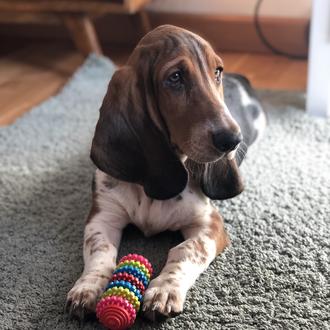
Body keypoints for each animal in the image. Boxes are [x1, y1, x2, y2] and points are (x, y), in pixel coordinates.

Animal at [65, 25, 264, 322]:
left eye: (217, 71)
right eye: (175, 77)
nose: (233, 140)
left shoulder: (209, 224)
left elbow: (185, 250)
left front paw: (165, 290)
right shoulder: (102, 217)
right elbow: (101, 251)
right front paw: (86, 288)